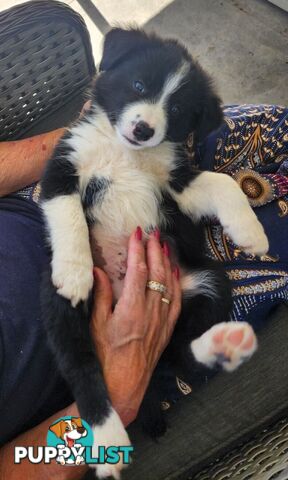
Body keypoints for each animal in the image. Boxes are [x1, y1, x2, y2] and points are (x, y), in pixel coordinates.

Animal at [40, 28, 268, 478]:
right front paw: (74, 271)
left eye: (176, 108)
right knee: (82, 366)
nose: (145, 128)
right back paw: (107, 438)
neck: (126, 151)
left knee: (178, 353)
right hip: (57, 309)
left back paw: (222, 344)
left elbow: (222, 183)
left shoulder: (176, 182)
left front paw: (251, 232)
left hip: (208, 282)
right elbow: (68, 215)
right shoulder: (62, 166)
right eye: (139, 85)